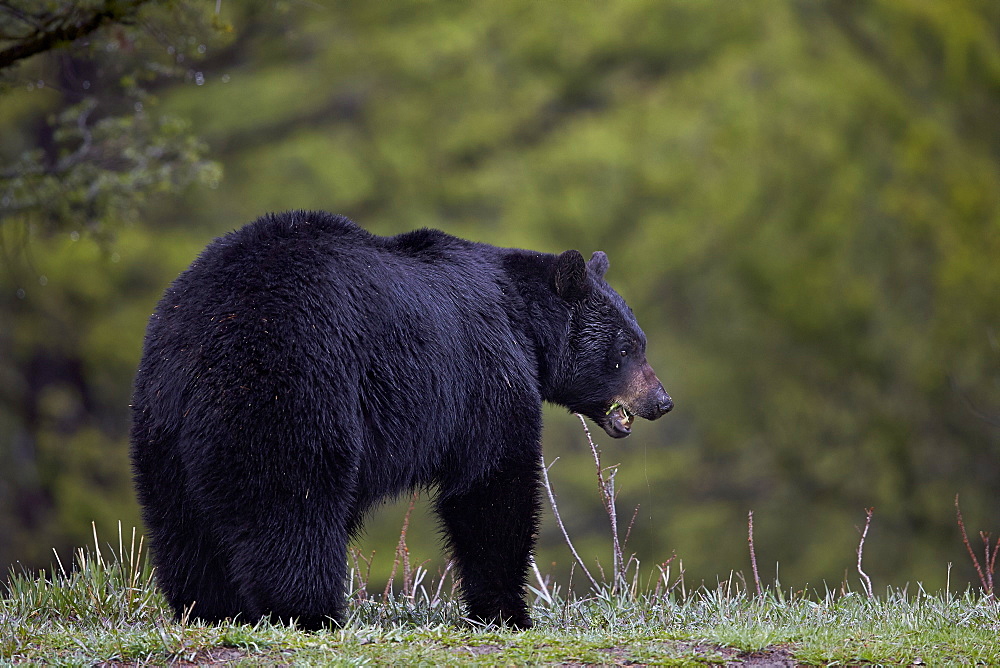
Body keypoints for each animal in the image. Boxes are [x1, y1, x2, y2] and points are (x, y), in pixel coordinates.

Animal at [127, 211, 672, 628]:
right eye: (625, 349)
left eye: (640, 341)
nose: (661, 401)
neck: (525, 327)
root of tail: (211, 329)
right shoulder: (486, 376)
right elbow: (492, 485)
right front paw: (506, 611)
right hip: (291, 382)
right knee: (292, 501)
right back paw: (310, 611)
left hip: (163, 418)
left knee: (181, 520)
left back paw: (209, 608)